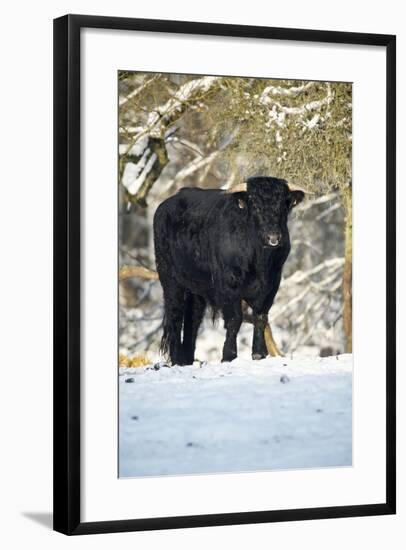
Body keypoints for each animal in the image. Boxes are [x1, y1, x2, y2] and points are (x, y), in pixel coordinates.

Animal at [153, 177, 304, 366]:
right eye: (255, 206)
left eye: (283, 206)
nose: (273, 237)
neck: (259, 261)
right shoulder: (228, 286)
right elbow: (234, 319)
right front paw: (229, 355)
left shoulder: (271, 285)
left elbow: (260, 317)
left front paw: (259, 353)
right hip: (170, 280)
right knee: (175, 315)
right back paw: (176, 360)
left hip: (196, 289)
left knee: (192, 320)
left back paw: (186, 359)